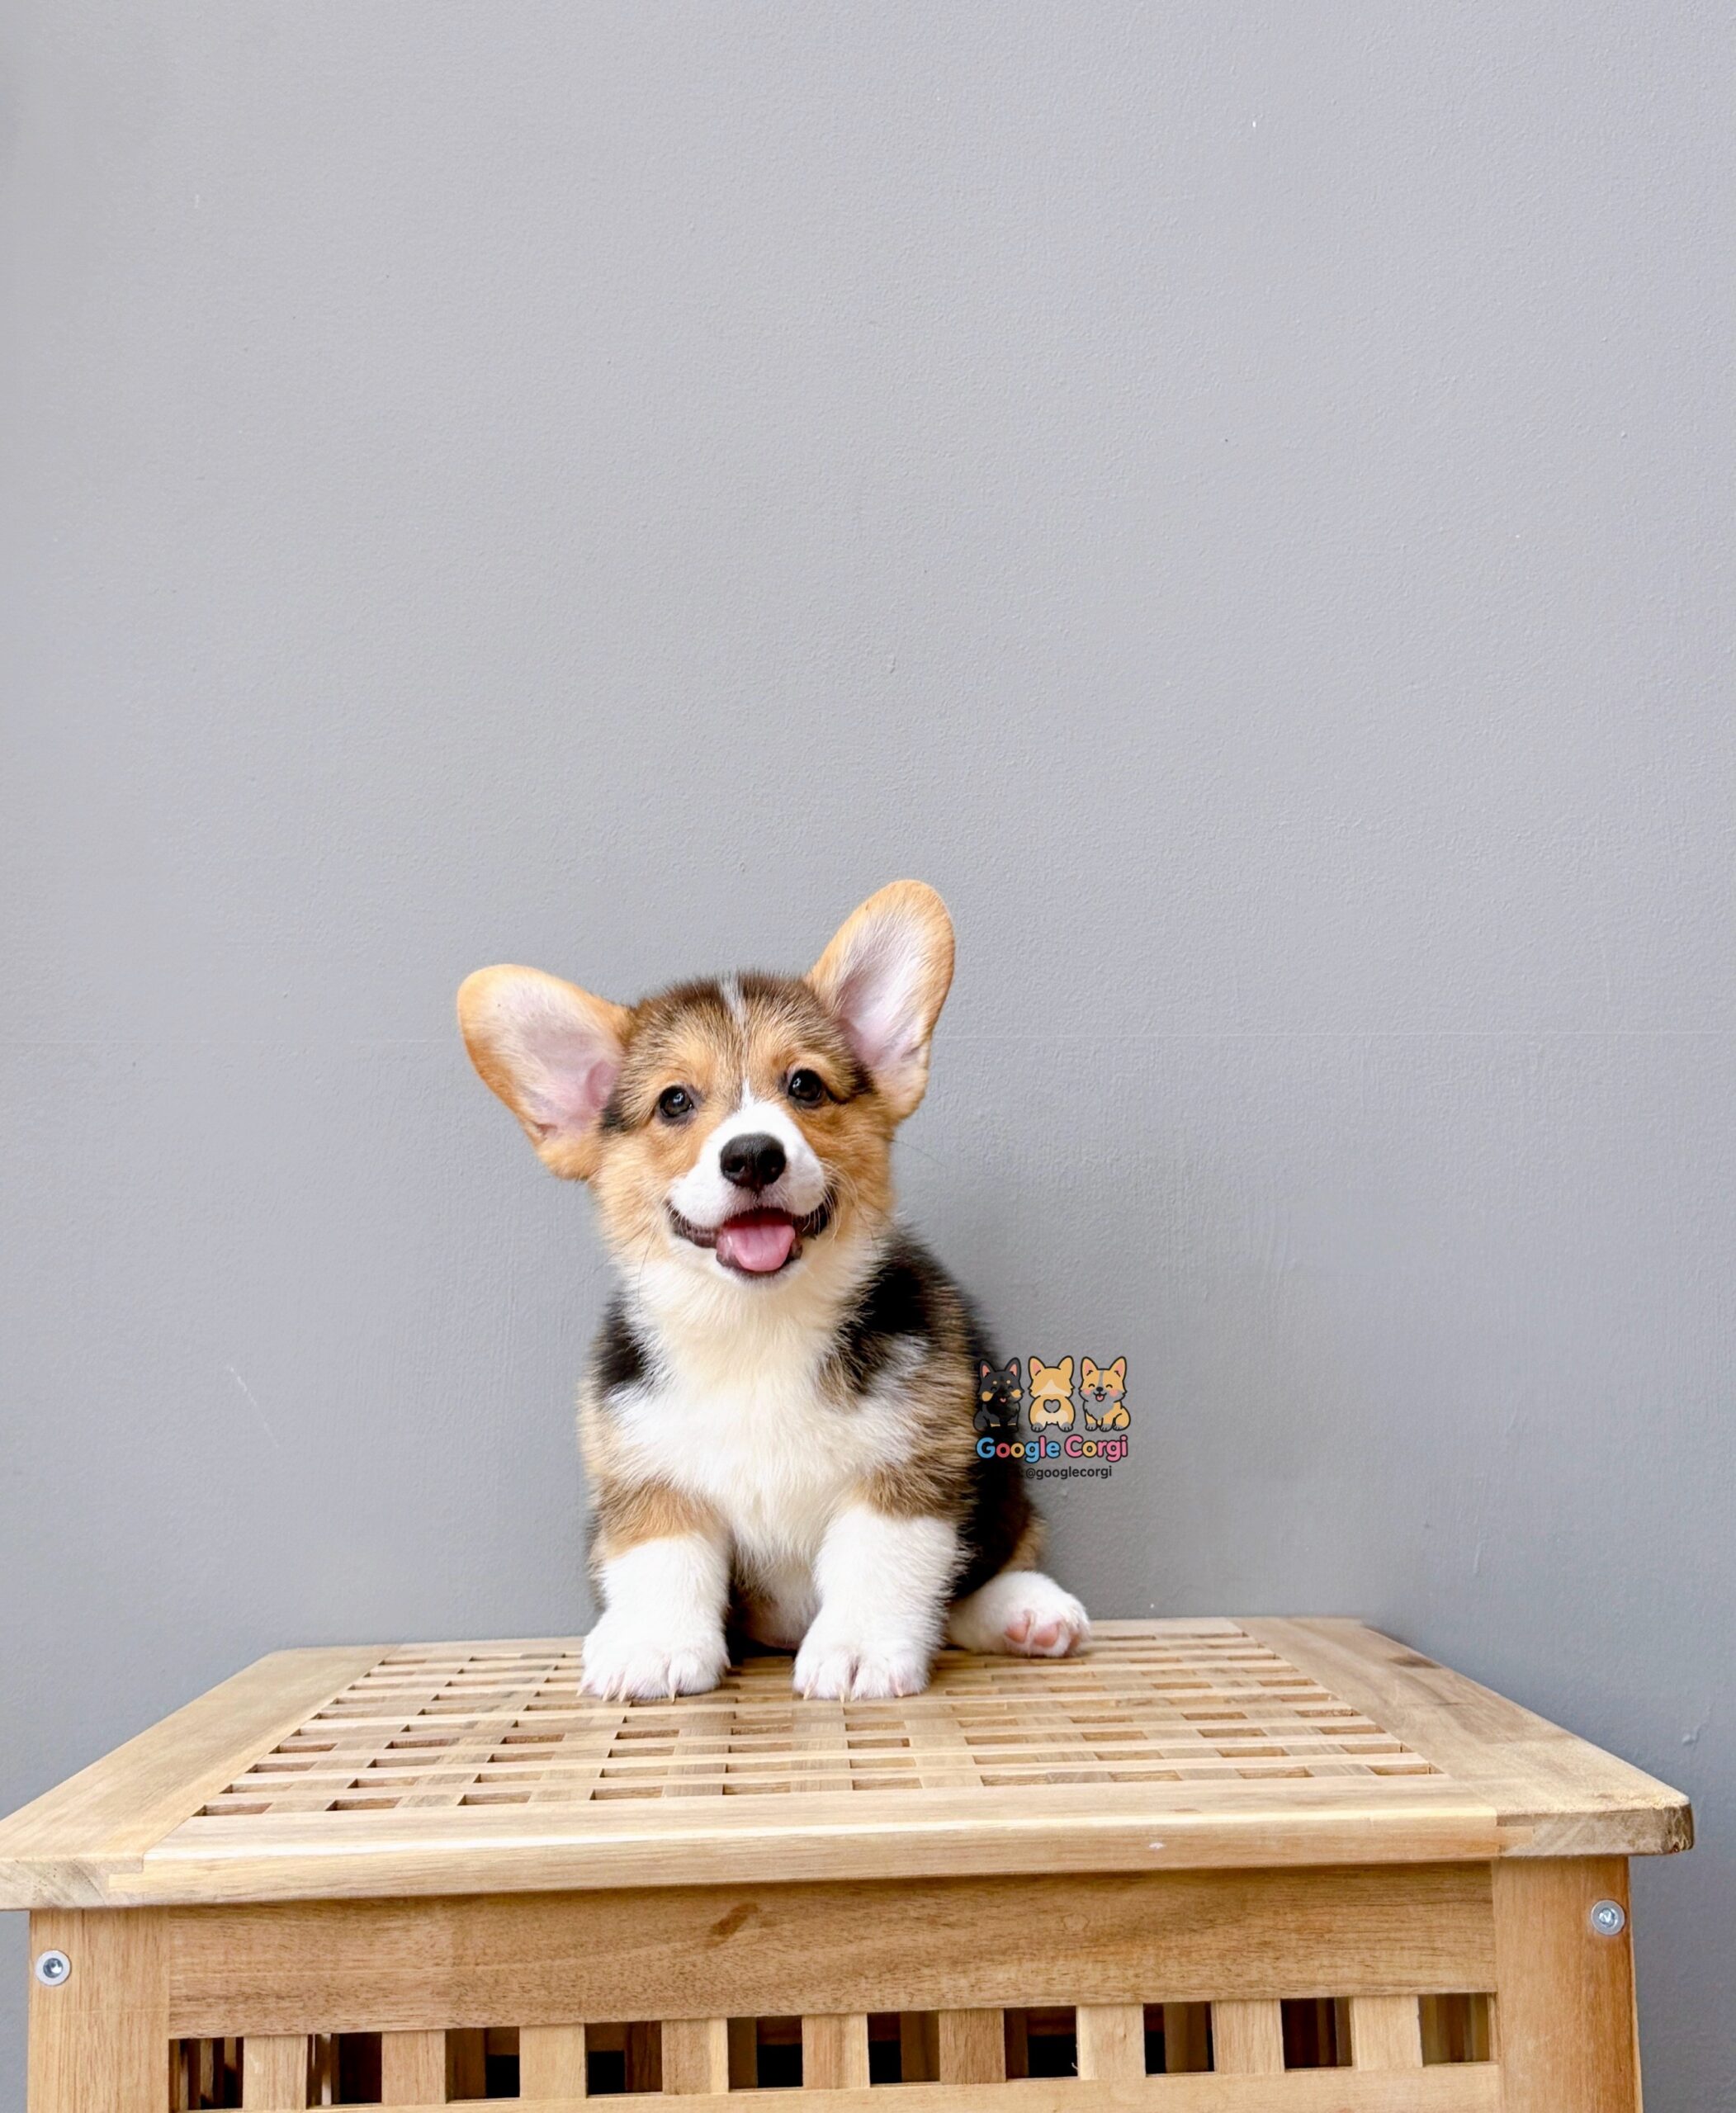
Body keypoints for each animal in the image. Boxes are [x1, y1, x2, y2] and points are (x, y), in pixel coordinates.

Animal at [459, 881, 1088, 1700]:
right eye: (673, 1102)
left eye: (804, 1086)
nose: (753, 1155)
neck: (755, 1324)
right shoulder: (648, 1476)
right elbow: (662, 1558)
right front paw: (654, 1645)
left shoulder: (905, 1471)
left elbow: (878, 1565)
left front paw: (855, 1651)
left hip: (1001, 1499)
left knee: (981, 1574)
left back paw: (1026, 1611)